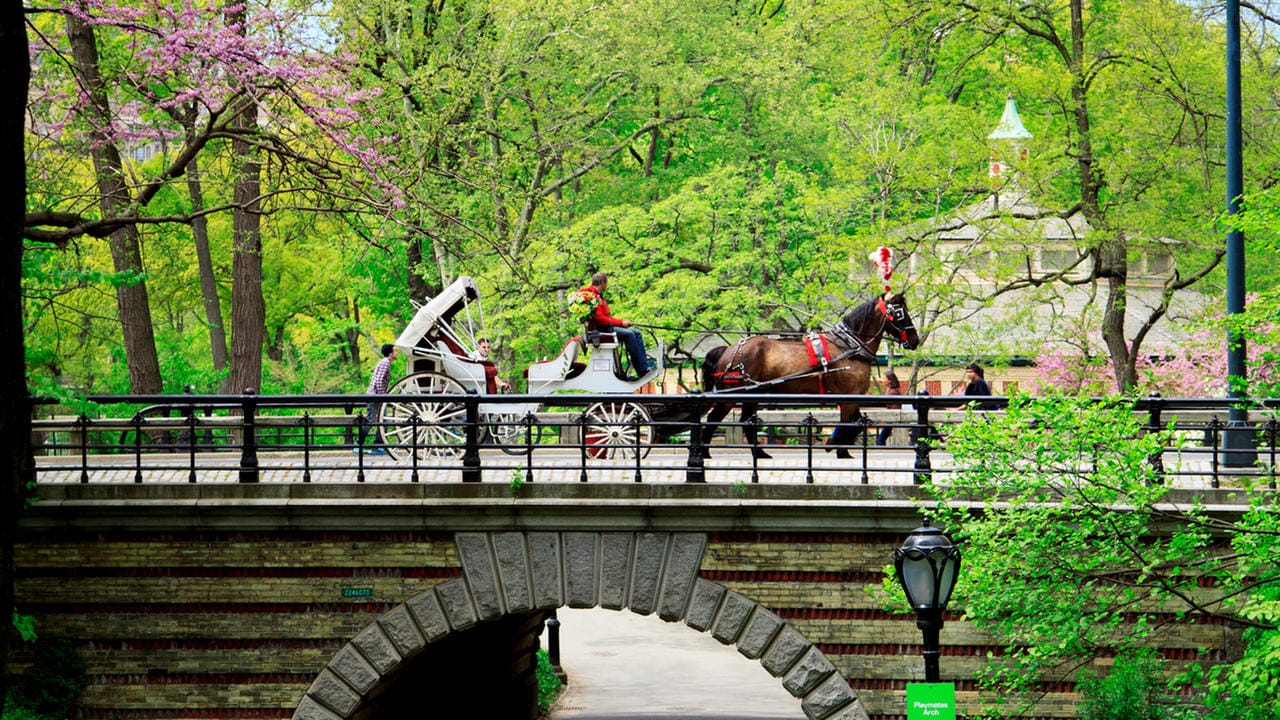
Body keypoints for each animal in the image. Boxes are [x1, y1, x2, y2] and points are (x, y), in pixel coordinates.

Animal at [701, 293, 921, 456]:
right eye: (900, 314)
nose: (915, 339)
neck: (849, 347)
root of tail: (729, 350)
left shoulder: (852, 398)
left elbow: (856, 424)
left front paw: (838, 448)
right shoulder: (848, 397)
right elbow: (848, 424)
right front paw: (837, 449)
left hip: (752, 394)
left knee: (745, 421)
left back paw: (759, 454)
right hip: (734, 395)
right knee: (715, 418)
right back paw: (706, 453)